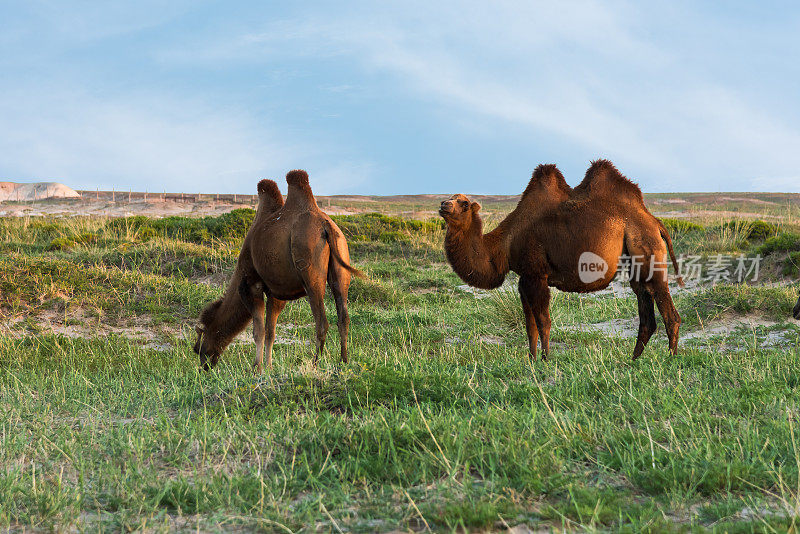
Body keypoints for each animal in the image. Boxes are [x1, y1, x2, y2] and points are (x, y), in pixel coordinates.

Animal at [195, 172, 364, 372]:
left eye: (199, 346)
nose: (204, 367)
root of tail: (326, 226)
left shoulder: (252, 284)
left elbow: (258, 331)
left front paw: (257, 367)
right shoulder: (276, 291)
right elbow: (270, 331)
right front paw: (268, 366)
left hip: (310, 269)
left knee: (322, 321)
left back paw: (315, 364)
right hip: (341, 256)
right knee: (343, 315)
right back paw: (343, 362)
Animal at [440, 158, 684, 360]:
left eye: (463, 204)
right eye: (450, 198)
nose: (443, 205)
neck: (505, 244)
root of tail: (655, 222)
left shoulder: (536, 275)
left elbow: (543, 321)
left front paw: (545, 360)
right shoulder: (523, 280)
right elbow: (530, 325)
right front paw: (531, 360)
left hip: (648, 248)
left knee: (669, 313)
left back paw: (671, 359)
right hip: (636, 264)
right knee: (646, 314)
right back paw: (632, 360)